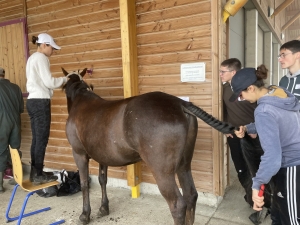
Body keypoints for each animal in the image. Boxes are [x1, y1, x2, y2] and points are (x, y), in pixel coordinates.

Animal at [62, 67, 236, 224]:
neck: (81, 99)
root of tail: (180, 103)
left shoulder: (79, 153)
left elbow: (84, 183)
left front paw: (85, 215)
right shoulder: (102, 156)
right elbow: (102, 180)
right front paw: (104, 208)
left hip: (162, 171)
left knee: (178, 205)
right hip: (184, 165)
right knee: (191, 195)